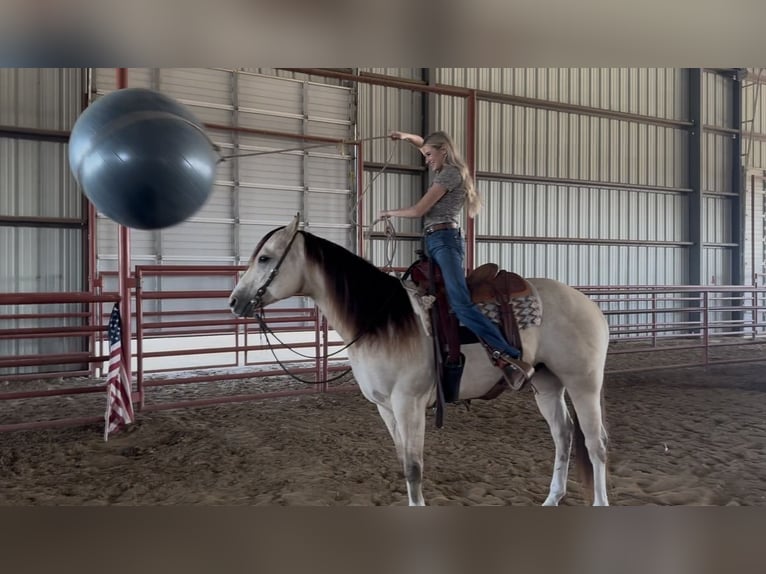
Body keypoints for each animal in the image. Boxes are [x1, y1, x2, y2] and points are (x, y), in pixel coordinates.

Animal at [229, 216, 610, 506]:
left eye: (265, 258)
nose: (234, 301)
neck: (380, 321)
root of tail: (589, 305)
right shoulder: (385, 407)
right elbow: (402, 461)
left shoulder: (408, 404)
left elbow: (414, 468)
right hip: (546, 384)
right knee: (563, 436)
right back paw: (552, 498)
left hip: (583, 383)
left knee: (596, 444)